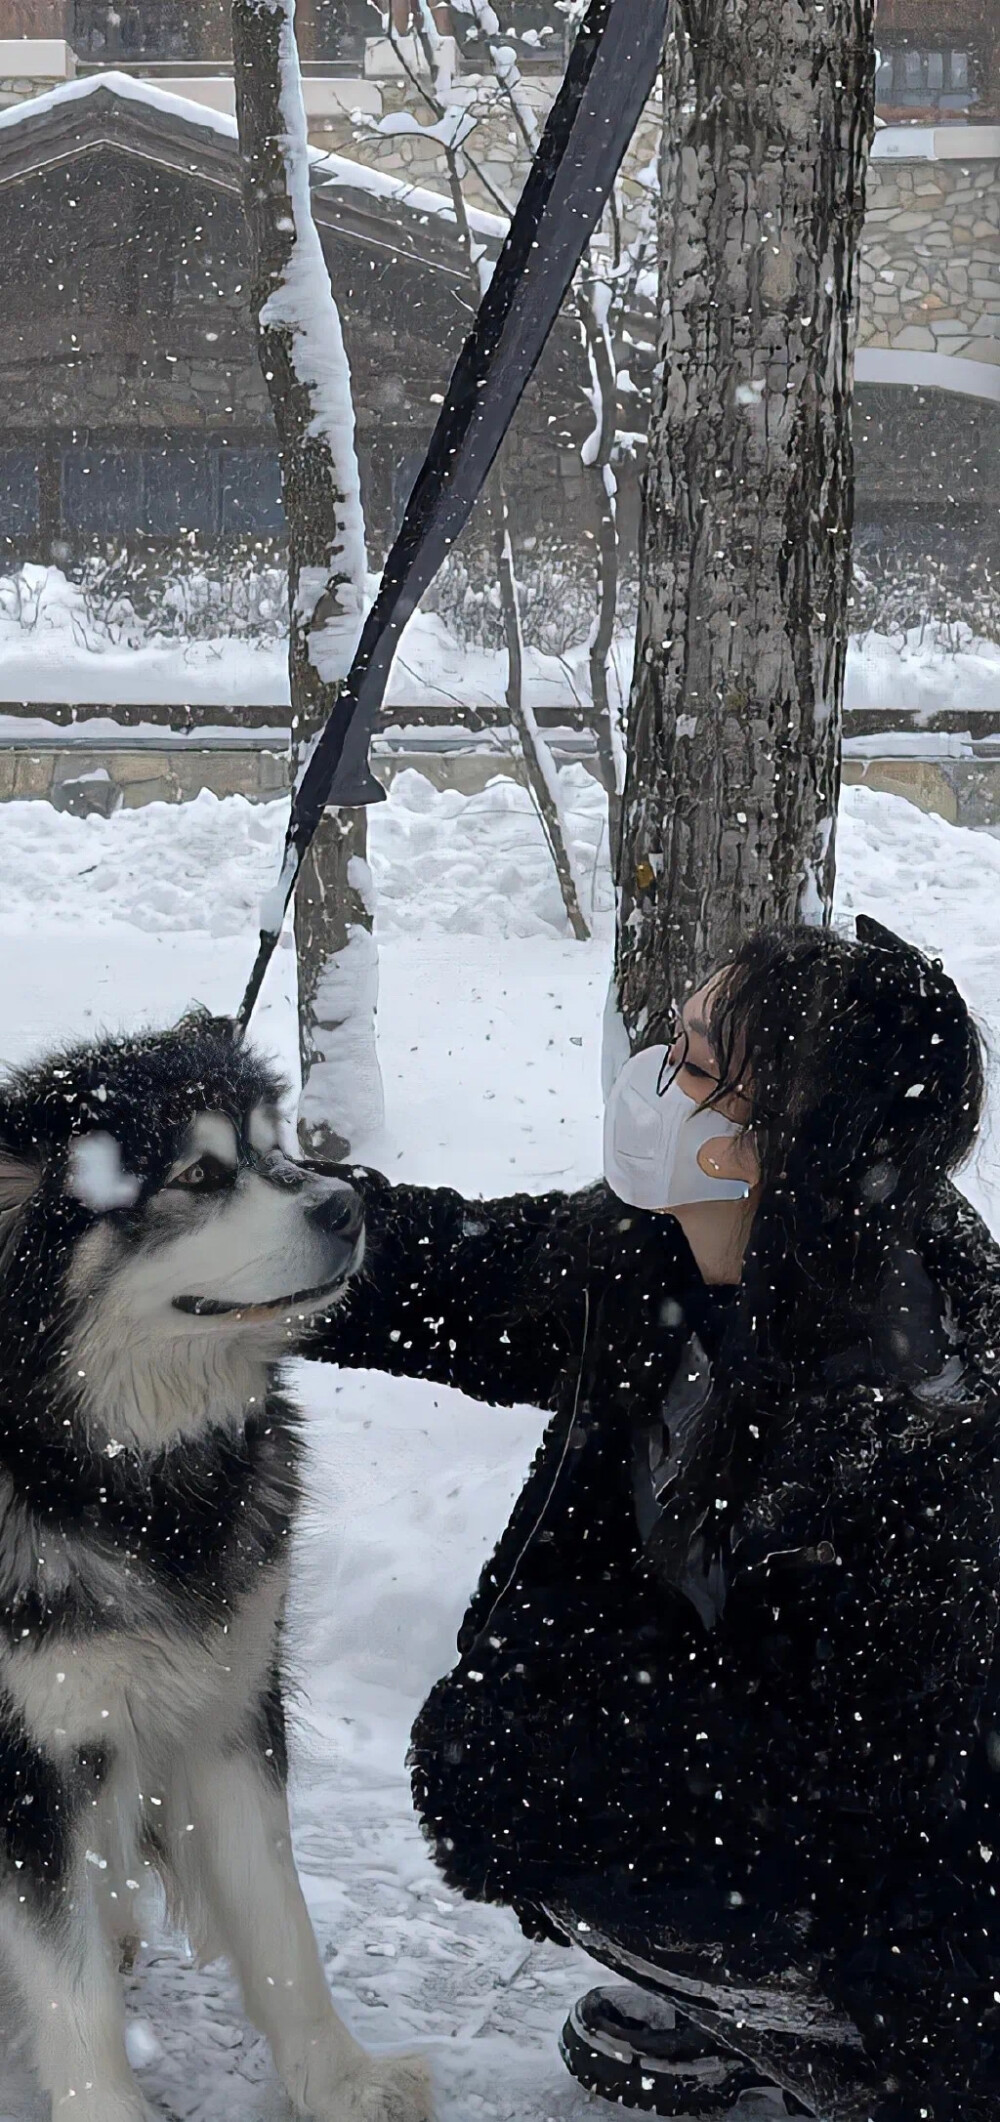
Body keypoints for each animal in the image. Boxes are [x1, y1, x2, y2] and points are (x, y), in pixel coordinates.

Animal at [0, 1018, 430, 2113]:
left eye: (277, 1148)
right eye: (197, 1173)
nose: (346, 1202)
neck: (122, 1473)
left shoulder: (229, 1705)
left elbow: (280, 1921)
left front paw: (342, 2078)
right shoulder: (29, 1764)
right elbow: (66, 1984)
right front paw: (106, 2104)